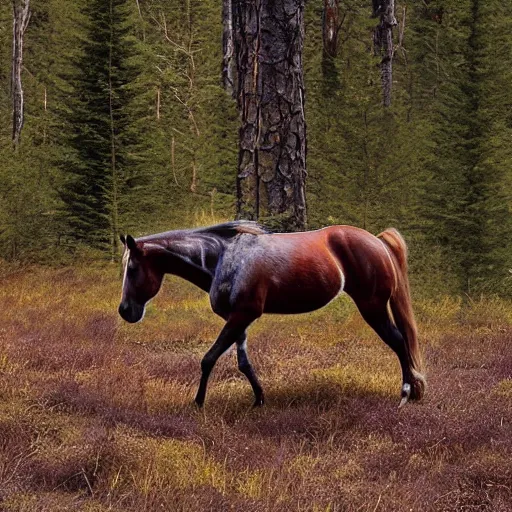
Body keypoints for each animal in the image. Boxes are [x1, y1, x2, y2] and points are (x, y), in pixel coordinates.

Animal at [118, 220, 426, 408]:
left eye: (132, 269)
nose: (125, 311)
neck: (224, 259)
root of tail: (379, 243)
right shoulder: (238, 319)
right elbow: (243, 363)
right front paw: (259, 399)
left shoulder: (243, 315)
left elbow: (209, 358)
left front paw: (198, 402)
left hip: (373, 307)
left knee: (399, 342)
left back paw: (405, 395)